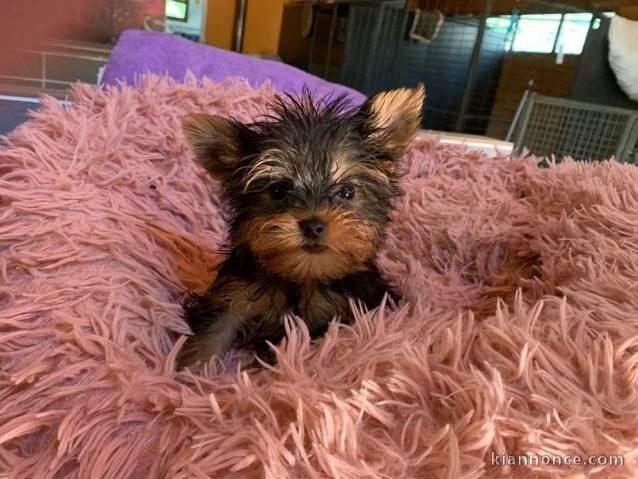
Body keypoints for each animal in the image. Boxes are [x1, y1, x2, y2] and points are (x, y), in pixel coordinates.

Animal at [176, 84, 424, 370]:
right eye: (278, 191)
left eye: (347, 192)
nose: (313, 226)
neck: (303, 276)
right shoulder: (233, 295)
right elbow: (213, 333)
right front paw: (191, 372)